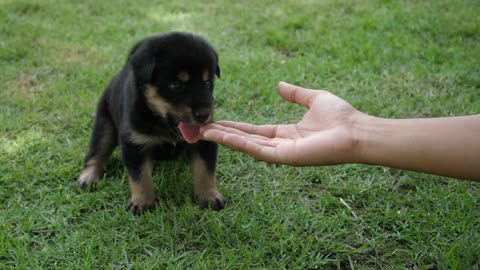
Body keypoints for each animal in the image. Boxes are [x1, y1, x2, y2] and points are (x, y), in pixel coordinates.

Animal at [79, 31, 225, 214]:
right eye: (176, 85)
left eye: (207, 83)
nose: (204, 114)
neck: (161, 123)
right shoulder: (134, 142)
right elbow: (140, 177)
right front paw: (142, 202)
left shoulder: (204, 142)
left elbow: (205, 171)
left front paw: (210, 195)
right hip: (104, 124)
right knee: (97, 151)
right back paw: (88, 177)